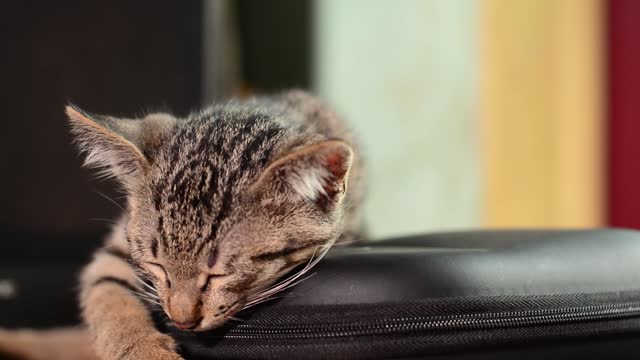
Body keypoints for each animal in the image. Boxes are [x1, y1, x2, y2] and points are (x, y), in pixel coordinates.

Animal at [0, 90, 364, 360]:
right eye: (157, 265)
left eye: (219, 273)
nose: (181, 320)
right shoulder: (116, 249)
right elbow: (108, 296)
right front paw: (144, 351)